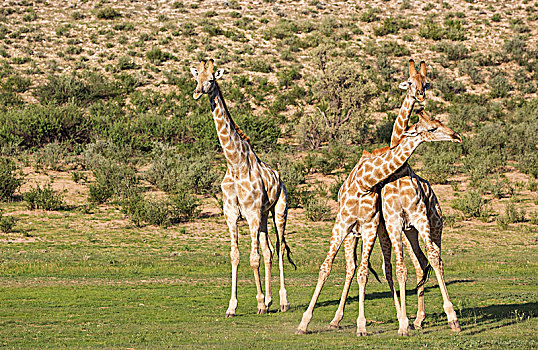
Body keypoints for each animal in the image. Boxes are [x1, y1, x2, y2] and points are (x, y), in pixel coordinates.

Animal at [191, 60, 296, 318]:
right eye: (196, 78)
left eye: (211, 80)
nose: (197, 92)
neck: (235, 164)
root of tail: (280, 178)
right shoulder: (231, 215)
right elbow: (236, 256)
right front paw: (232, 306)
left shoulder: (251, 214)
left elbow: (253, 258)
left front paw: (258, 303)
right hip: (264, 216)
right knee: (269, 251)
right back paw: (270, 300)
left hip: (279, 211)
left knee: (279, 249)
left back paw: (282, 301)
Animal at [294, 109, 460, 336]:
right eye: (433, 127)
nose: (456, 136)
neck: (364, 183)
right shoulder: (342, 225)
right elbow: (326, 268)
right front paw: (303, 323)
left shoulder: (373, 226)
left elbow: (366, 273)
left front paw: (363, 325)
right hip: (371, 234)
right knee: (359, 267)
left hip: (429, 227)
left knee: (421, 262)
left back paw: (412, 319)